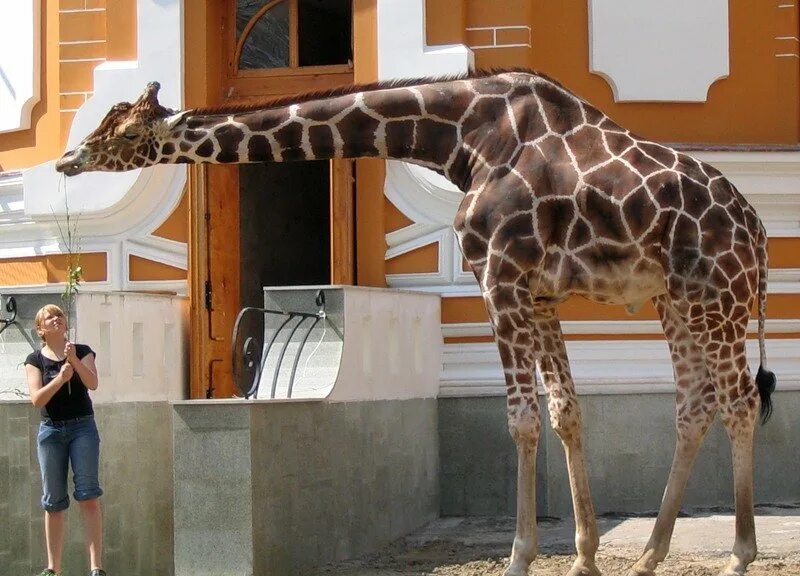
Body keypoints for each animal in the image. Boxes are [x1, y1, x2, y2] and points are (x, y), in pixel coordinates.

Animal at [54, 72, 776, 576]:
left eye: (125, 135)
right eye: (104, 122)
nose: (68, 161)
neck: (462, 138)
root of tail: (759, 235)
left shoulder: (499, 278)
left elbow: (521, 418)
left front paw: (520, 556)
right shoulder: (539, 293)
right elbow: (566, 410)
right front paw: (584, 555)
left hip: (717, 297)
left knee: (738, 402)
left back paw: (739, 554)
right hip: (678, 300)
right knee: (694, 406)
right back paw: (652, 553)